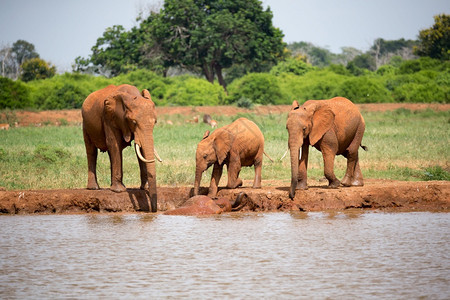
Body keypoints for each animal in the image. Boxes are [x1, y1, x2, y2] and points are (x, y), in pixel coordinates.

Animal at [81, 83, 161, 211]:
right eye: (134, 122)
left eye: (155, 122)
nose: (153, 211)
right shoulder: (109, 116)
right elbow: (113, 143)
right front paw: (118, 191)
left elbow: (139, 149)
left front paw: (145, 188)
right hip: (85, 124)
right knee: (91, 151)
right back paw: (94, 188)